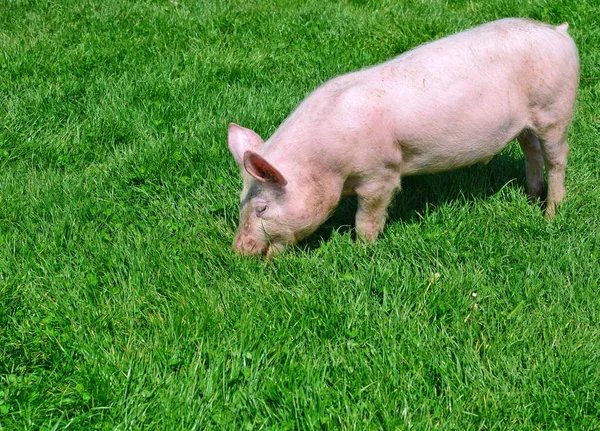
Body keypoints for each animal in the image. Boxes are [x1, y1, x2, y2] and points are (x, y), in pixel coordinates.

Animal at [227, 18, 580, 256]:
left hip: (555, 110)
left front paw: (361, 252)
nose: (238, 252)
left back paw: (550, 214)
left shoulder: (380, 174)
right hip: (526, 123)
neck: (326, 164)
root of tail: (558, 31)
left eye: (261, 208)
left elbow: (367, 219)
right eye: (241, 202)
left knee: (558, 157)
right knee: (531, 150)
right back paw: (531, 197)